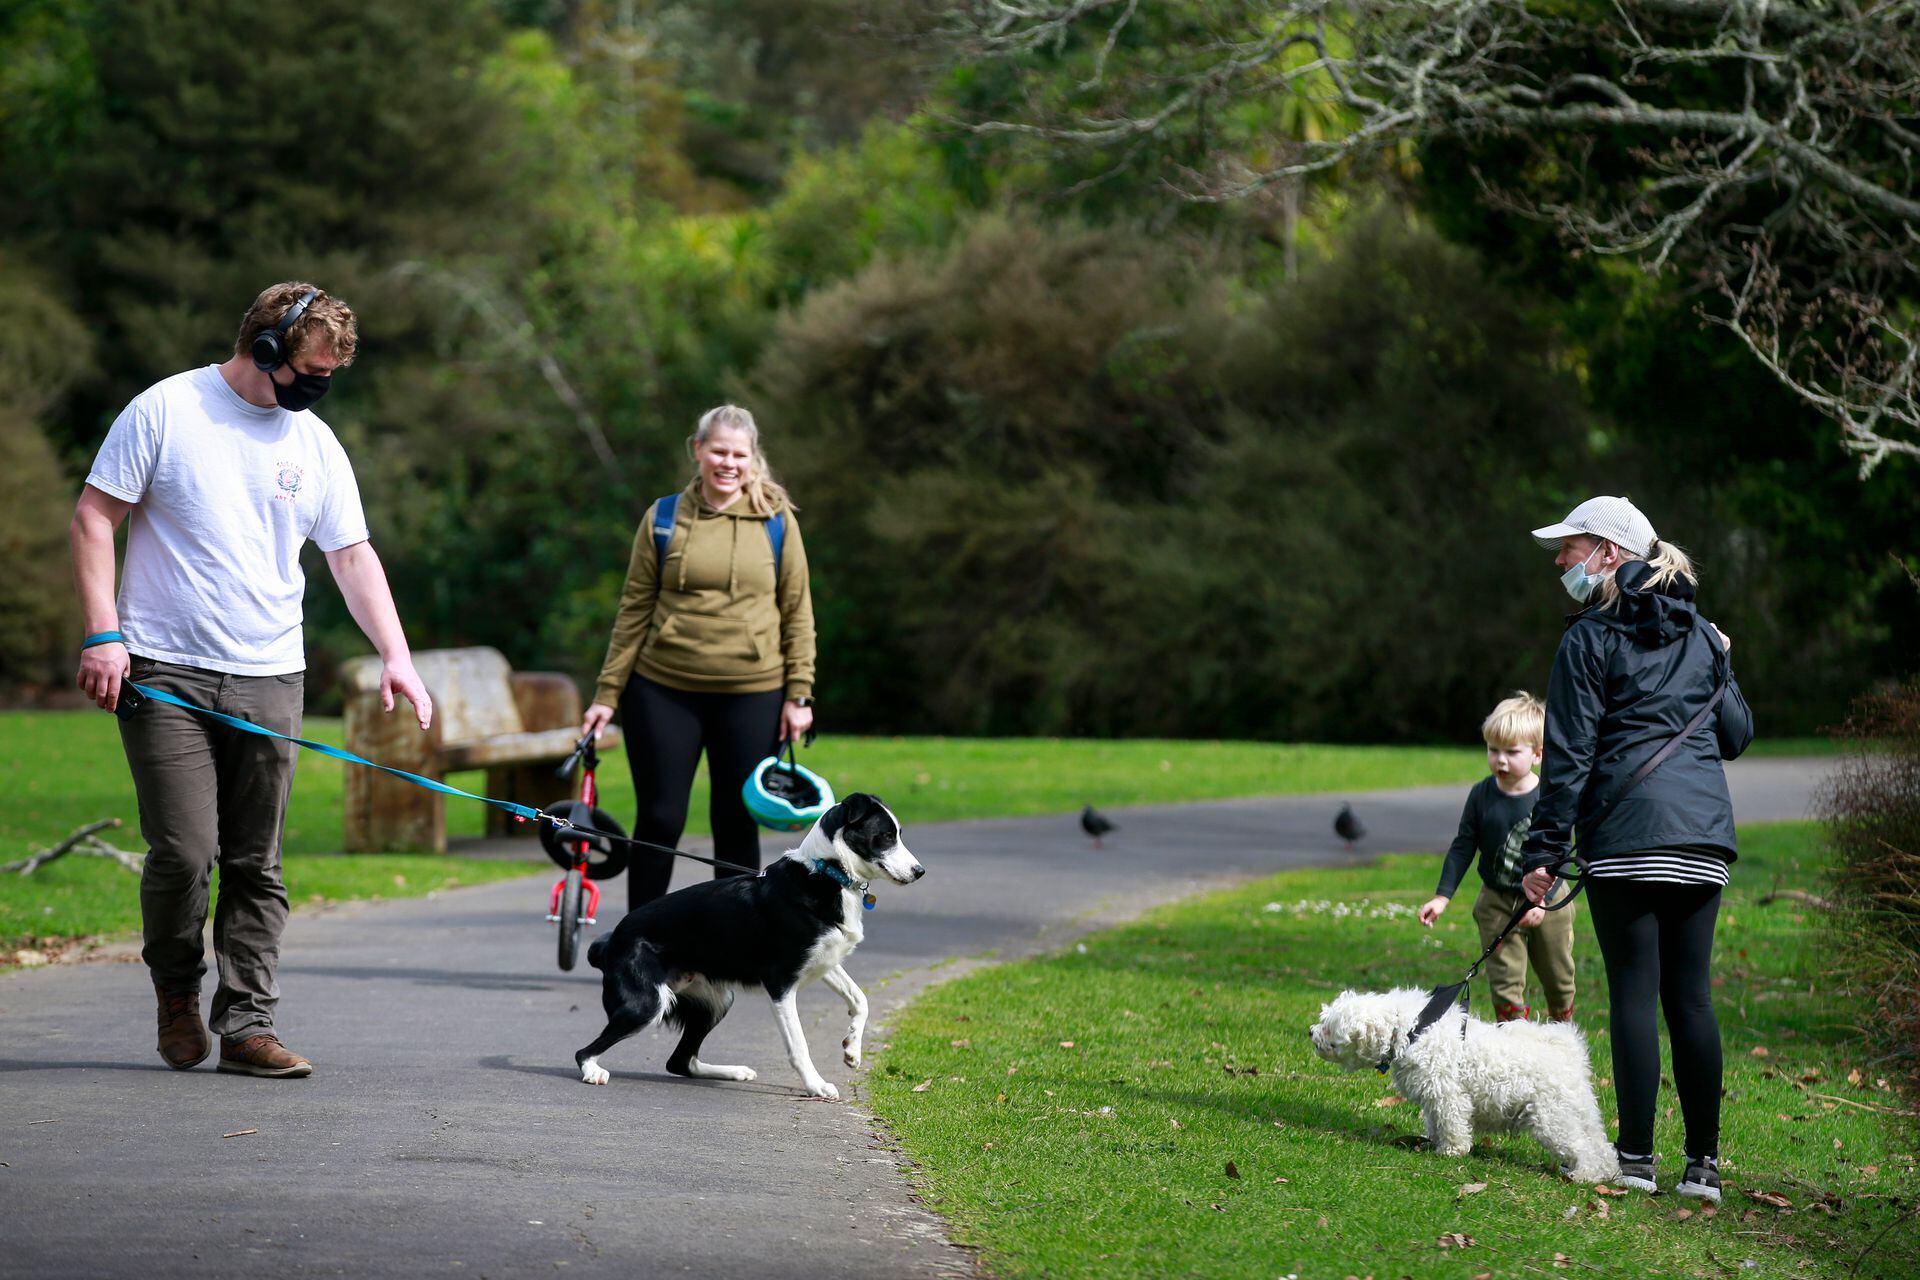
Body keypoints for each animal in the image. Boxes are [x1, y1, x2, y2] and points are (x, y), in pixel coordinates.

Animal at [572, 790, 925, 1105]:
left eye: (898, 835)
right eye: (885, 837)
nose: (919, 872)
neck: (826, 873)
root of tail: (611, 941)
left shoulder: (824, 960)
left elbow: (860, 999)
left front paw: (852, 1049)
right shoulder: (781, 982)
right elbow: (799, 1044)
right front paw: (816, 1085)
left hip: (716, 1000)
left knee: (680, 1061)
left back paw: (733, 1071)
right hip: (646, 1005)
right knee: (583, 1051)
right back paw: (592, 1071)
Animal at [1305, 990, 1620, 1182]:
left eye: (1328, 1028)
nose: (1309, 1031)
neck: (1410, 1030)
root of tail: (1568, 1052)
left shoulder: (1447, 1094)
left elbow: (1451, 1122)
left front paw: (1452, 1151)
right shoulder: (1433, 1097)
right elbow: (1435, 1122)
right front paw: (1433, 1142)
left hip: (1553, 1119)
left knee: (1583, 1148)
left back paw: (1586, 1175)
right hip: (1581, 1113)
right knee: (1603, 1148)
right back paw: (1609, 1175)